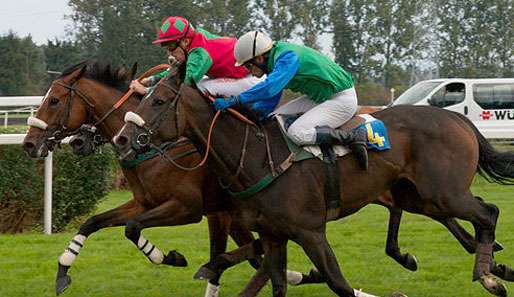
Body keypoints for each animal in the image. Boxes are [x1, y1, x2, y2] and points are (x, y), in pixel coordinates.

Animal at [21, 60, 260, 296]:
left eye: (53, 100)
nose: (29, 144)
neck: (153, 149)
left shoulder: (188, 208)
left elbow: (133, 227)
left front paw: (172, 258)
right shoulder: (143, 203)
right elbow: (94, 222)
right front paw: (62, 271)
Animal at [115, 67, 512, 296]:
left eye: (159, 101)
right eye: (141, 97)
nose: (122, 138)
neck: (257, 157)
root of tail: (458, 120)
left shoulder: (309, 231)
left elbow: (339, 284)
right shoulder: (272, 233)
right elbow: (274, 282)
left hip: (444, 192)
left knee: (488, 212)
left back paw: (488, 274)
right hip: (417, 196)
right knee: (471, 219)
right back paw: (494, 267)